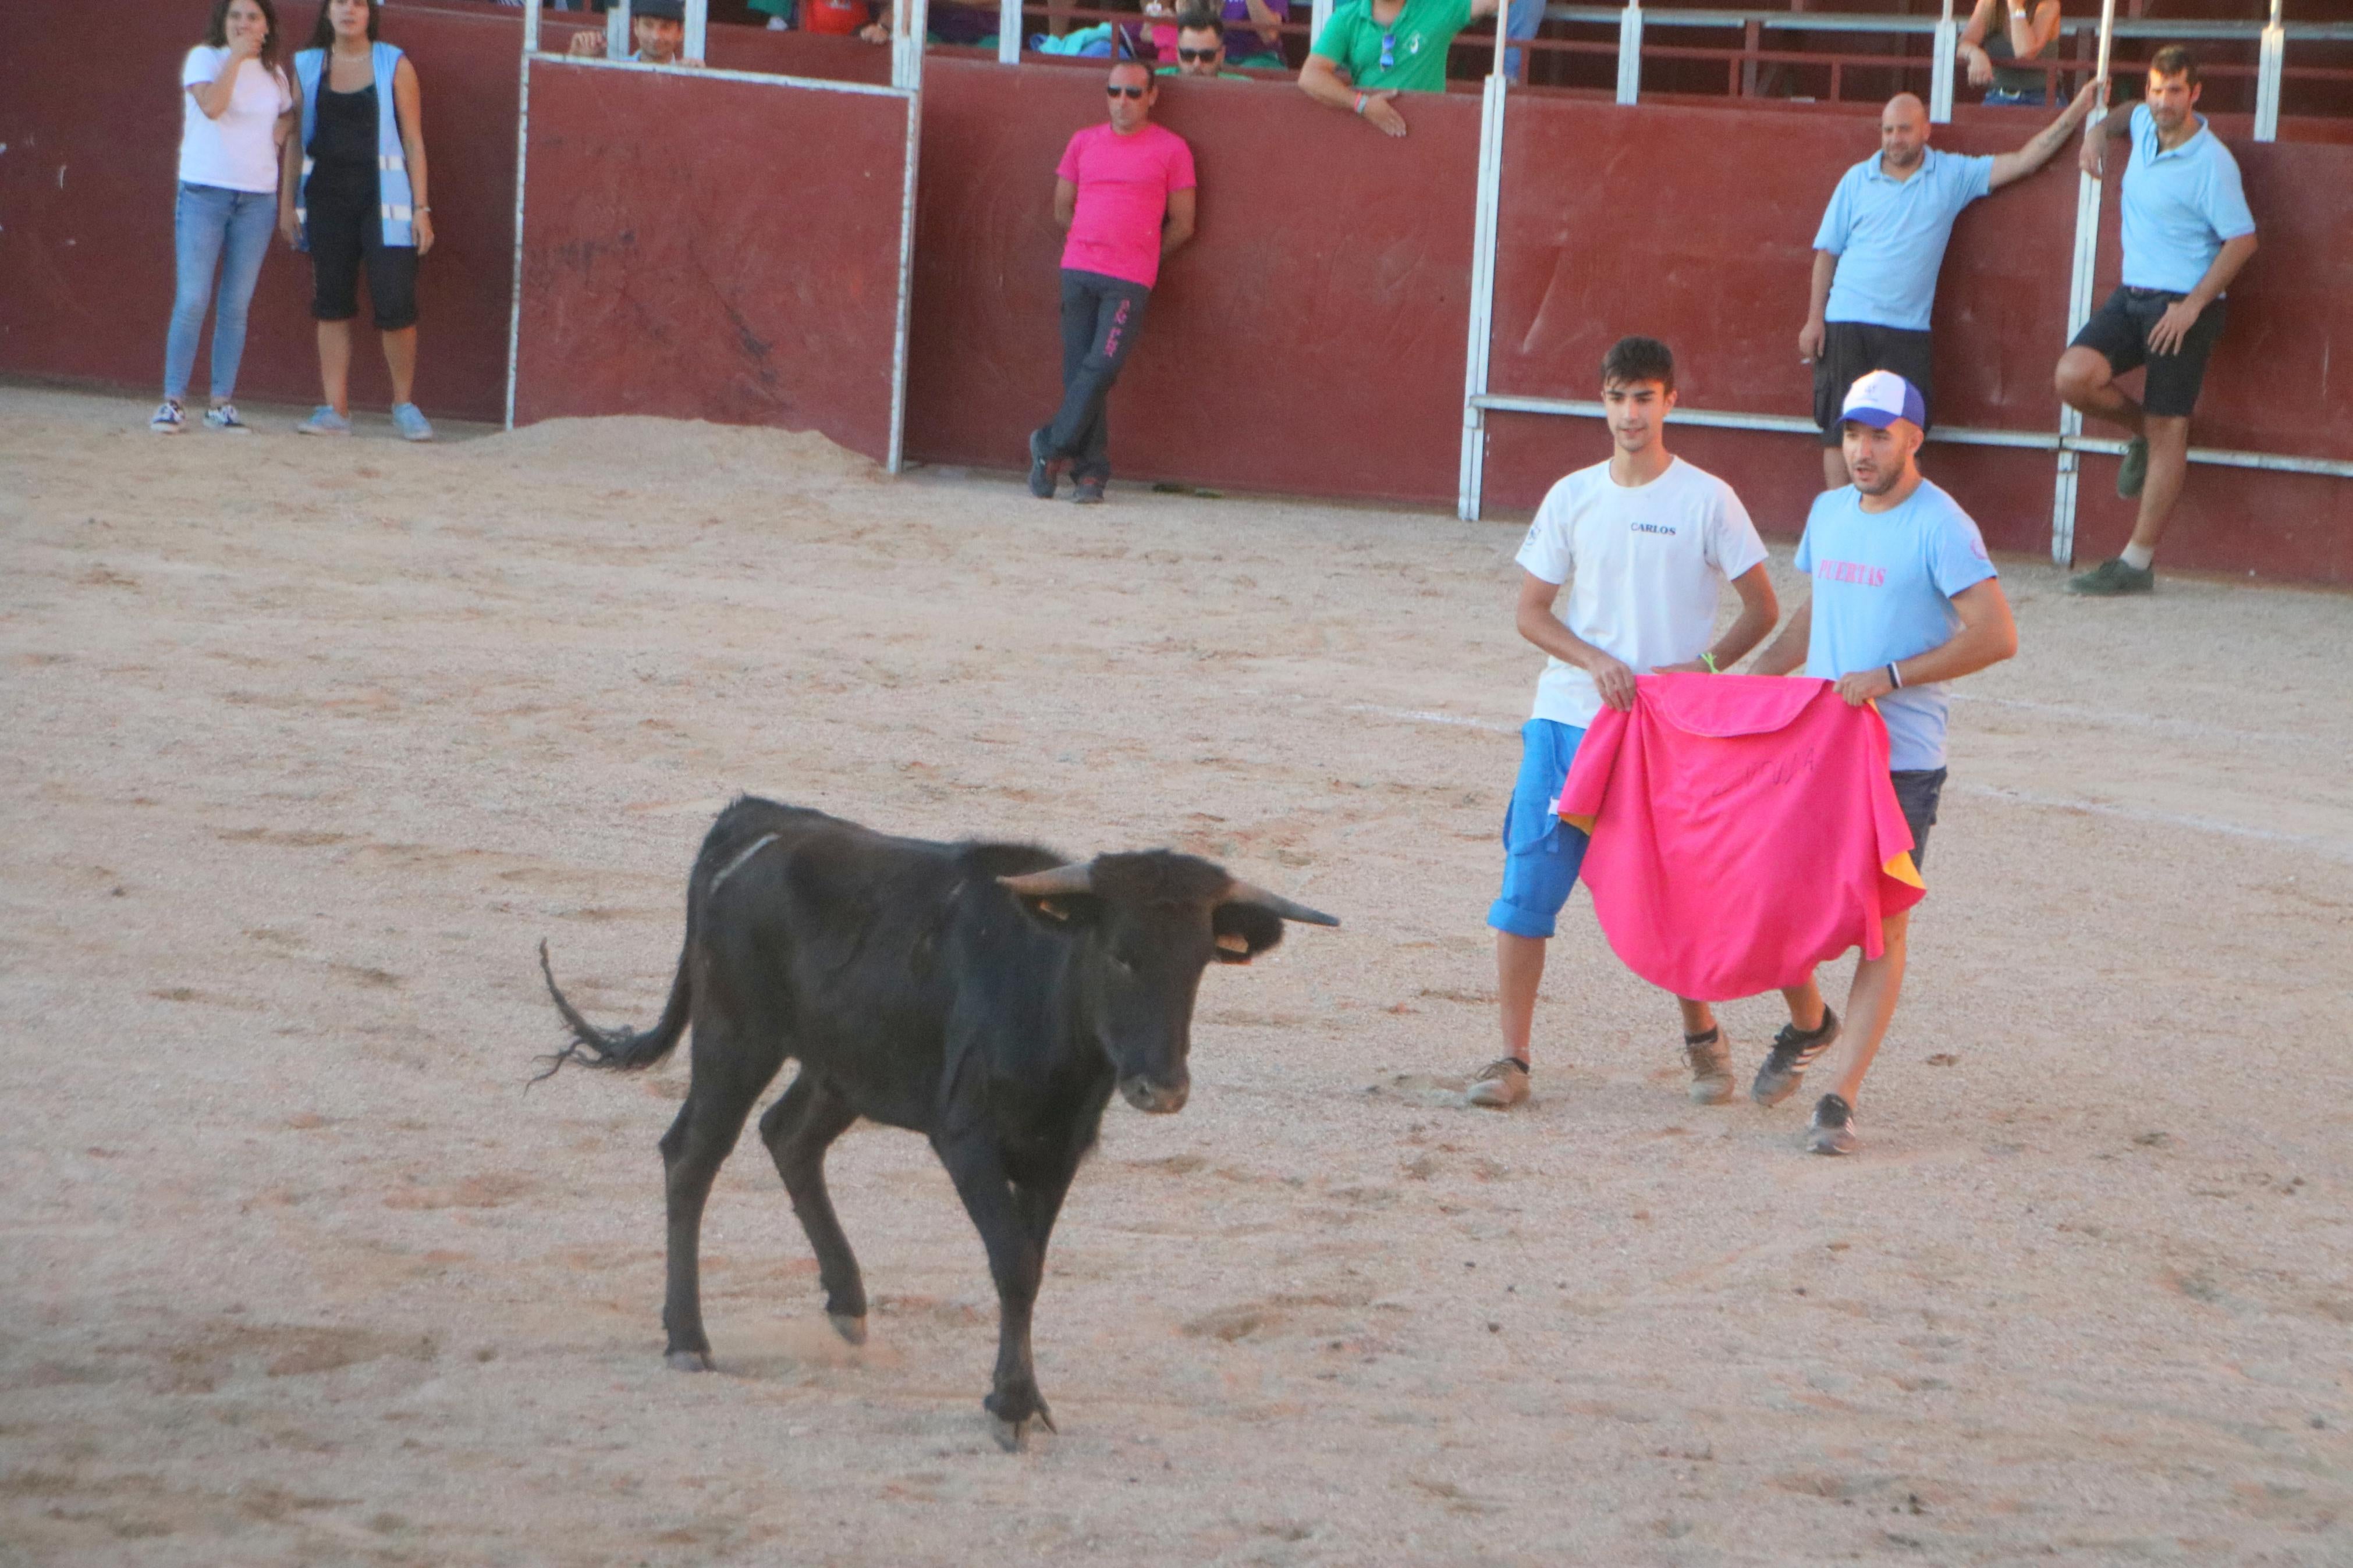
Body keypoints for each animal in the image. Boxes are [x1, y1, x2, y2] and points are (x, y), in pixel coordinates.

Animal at [538, 803, 1336, 1457]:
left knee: (788, 1136)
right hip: (736, 1038)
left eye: (1199, 963)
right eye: (1119, 953)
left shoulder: (1055, 1154)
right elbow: (1011, 1262)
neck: (1043, 996)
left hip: (843, 1064)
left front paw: (1017, 1397)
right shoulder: (966, 1139)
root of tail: (753, 819)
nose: (1161, 1088)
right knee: (693, 1154)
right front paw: (1011, 1406)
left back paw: (847, 1305)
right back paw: (688, 1339)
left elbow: (1030, 1263)